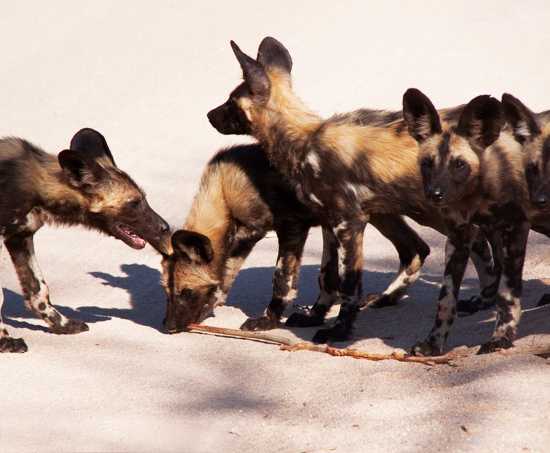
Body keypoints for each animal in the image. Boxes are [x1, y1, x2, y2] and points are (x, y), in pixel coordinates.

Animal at [0, 129, 171, 352]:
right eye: (134, 203)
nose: (165, 227)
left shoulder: (19, 237)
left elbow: (39, 290)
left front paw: (62, 325)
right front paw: (4, 341)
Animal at [160, 144, 432, 332]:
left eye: (187, 292)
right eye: (168, 292)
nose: (168, 326)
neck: (227, 191)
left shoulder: (291, 227)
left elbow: (282, 279)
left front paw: (268, 320)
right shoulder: (248, 236)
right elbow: (327, 278)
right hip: (380, 214)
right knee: (416, 248)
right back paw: (387, 298)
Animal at [208, 38, 500, 342]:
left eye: (229, 102)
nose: (208, 115)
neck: (303, 141)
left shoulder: (347, 224)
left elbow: (332, 284)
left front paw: (335, 329)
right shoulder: (329, 223)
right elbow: (327, 277)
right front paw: (314, 315)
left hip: (430, 211)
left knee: (472, 242)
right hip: (400, 211)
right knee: (428, 248)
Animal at [402, 88, 540, 354]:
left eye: (459, 164)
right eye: (427, 163)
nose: (435, 194)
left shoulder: (516, 229)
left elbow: (507, 295)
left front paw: (500, 338)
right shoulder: (458, 238)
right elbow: (446, 299)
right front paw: (434, 343)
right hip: (492, 233)